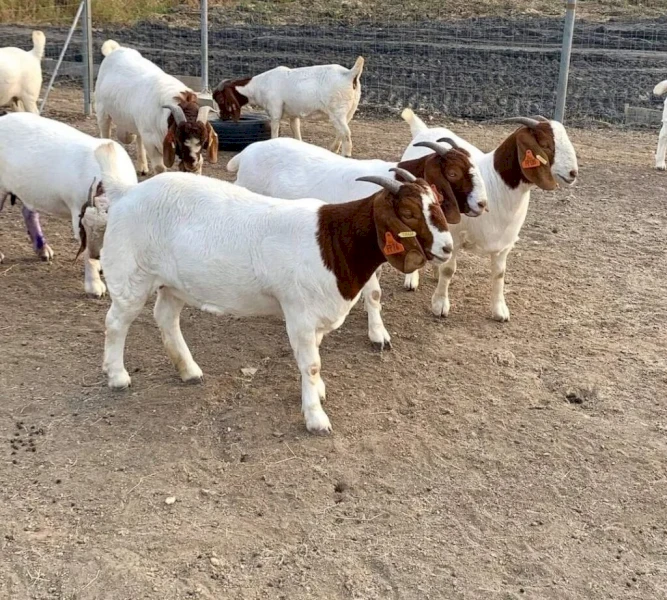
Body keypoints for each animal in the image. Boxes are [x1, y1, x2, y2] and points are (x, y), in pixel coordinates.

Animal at [0, 112, 137, 296]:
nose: (97, 255)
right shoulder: (78, 212)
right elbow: (85, 251)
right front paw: (94, 286)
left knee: (28, 212)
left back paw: (43, 250)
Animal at [94, 141, 451, 434]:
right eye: (408, 213)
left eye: (436, 201)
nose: (447, 247)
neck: (332, 242)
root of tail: (126, 193)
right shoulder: (300, 314)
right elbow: (311, 363)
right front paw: (316, 419)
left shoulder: (315, 315)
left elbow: (314, 360)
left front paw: (317, 392)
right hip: (130, 275)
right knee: (116, 322)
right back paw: (117, 376)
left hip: (173, 283)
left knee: (166, 317)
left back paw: (189, 370)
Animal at [95, 40, 218, 175]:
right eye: (178, 139)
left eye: (204, 139)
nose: (192, 165)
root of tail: (115, 49)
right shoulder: (150, 141)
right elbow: (160, 167)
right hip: (102, 110)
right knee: (106, 133)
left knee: (136, 137)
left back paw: (142, 166)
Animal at [213, 57, 364, 157]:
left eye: (220, 98)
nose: (222, 117)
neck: (259, 86)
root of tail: (349, 74)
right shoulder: (293, 115)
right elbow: (296, 131)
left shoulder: (274, 111)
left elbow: (274, 131)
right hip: (349, 111)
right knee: (342, 132)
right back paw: (333, 149)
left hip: (337, 111)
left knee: (346, 133)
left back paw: (346, 155)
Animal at [400, 109, 578, 322]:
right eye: (544, 144)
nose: (573, 173)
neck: (496, 184)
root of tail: (424, 131)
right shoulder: (456, 236)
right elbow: (449, 270)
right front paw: (440, 305)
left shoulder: (504, 245)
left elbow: (499, 275)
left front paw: (500, 311)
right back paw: (411, 279)